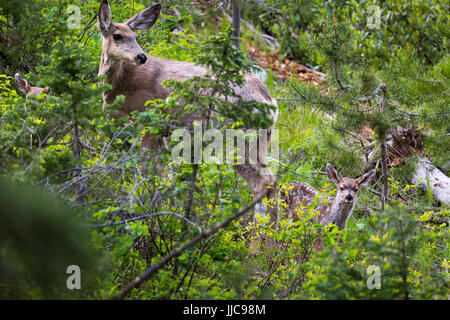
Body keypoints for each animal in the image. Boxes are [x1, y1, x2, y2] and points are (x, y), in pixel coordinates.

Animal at [97, 1, 280, 225]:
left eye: (136, 36)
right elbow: (161, 174)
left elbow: (147, 171)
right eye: (117, 35)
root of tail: (269, 101)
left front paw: (143, 211)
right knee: (270, 183)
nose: (141, 56)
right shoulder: (159, 132)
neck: (119, 85)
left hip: (235, 136)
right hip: (261, 140)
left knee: (263, 183)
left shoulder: (150, 122)